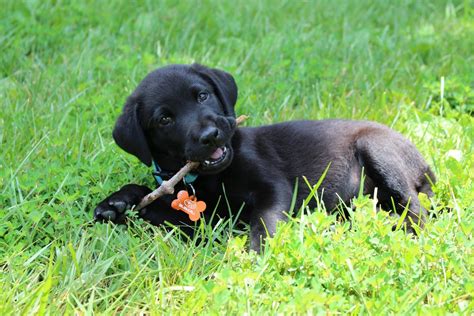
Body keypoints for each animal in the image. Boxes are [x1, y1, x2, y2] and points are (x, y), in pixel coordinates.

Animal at [94, 63, 436, 252]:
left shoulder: (274, 189)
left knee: (417, 211)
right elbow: (154, 205)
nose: (210, 135)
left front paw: (254, 257)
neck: (208, 178)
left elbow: (265, 222)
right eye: (164, 119)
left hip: (378, 150)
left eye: (202, 96)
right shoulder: (199, 220)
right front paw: (116, 202)